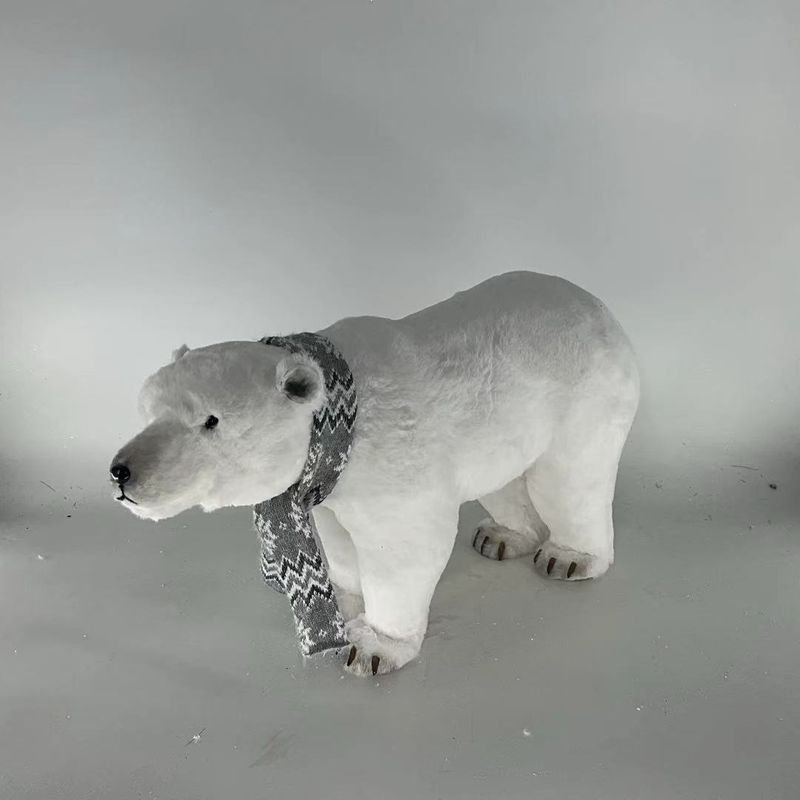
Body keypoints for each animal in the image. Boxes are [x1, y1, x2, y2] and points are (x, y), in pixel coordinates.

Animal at [109, 271, 640, 676]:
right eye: (148, 411)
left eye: (210, 421)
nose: (122, 473)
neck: (341, 415)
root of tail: (599, 307)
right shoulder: (333, 487)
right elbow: (340, 542)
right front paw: (346, 602)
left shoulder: (394, 460)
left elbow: (405, 547)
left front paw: (372, 646)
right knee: (504, 480)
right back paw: (503, 535)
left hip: (584, 391)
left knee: (571, 477)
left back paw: (570, 556)